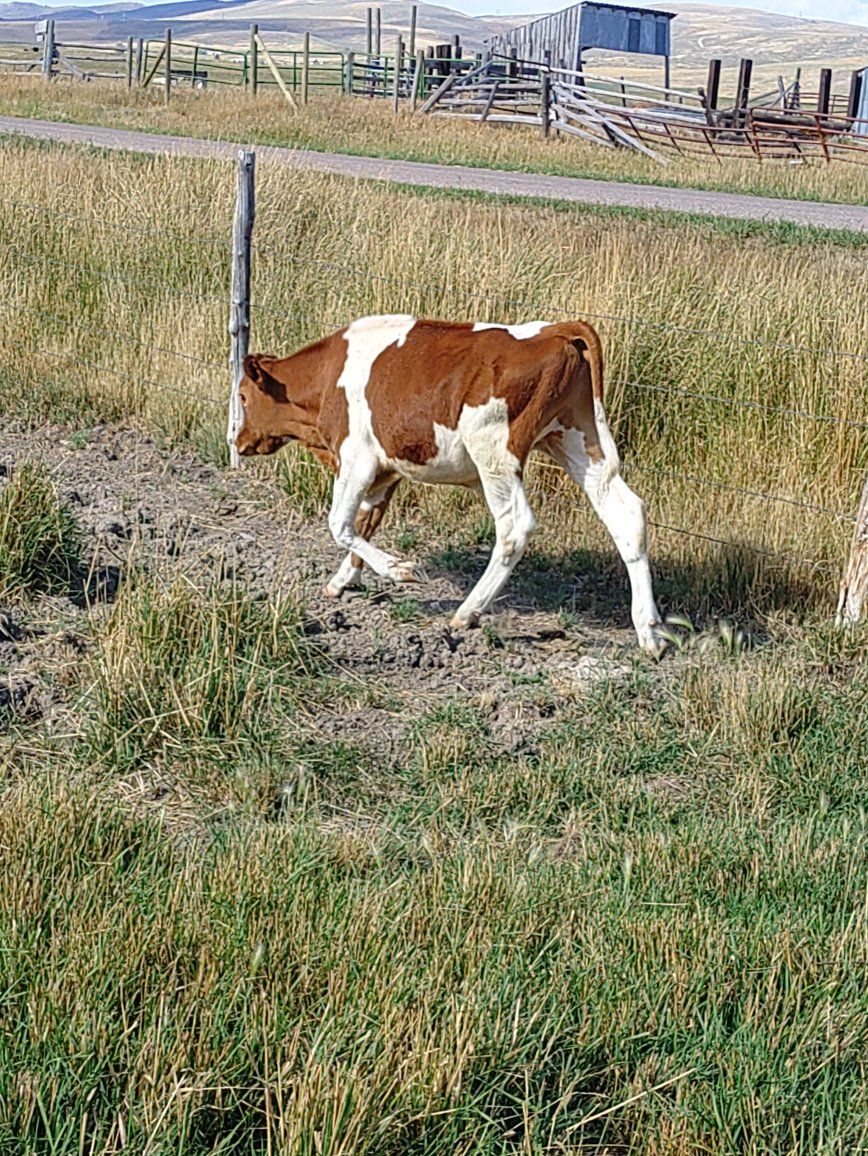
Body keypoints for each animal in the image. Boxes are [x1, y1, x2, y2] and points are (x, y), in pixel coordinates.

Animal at [234, 315, 666, 656]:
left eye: (242, 396)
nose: (237, 442)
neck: (328, 377)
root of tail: (553, 330)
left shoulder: (356, 457)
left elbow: (340, 524)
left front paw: (398, 569)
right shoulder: (387, 467)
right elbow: (366, 521)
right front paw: (342, 582)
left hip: (494, 452)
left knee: (515, 527)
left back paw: (467, 611)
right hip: (578, 441)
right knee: (627, 515)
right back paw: (649, 632)